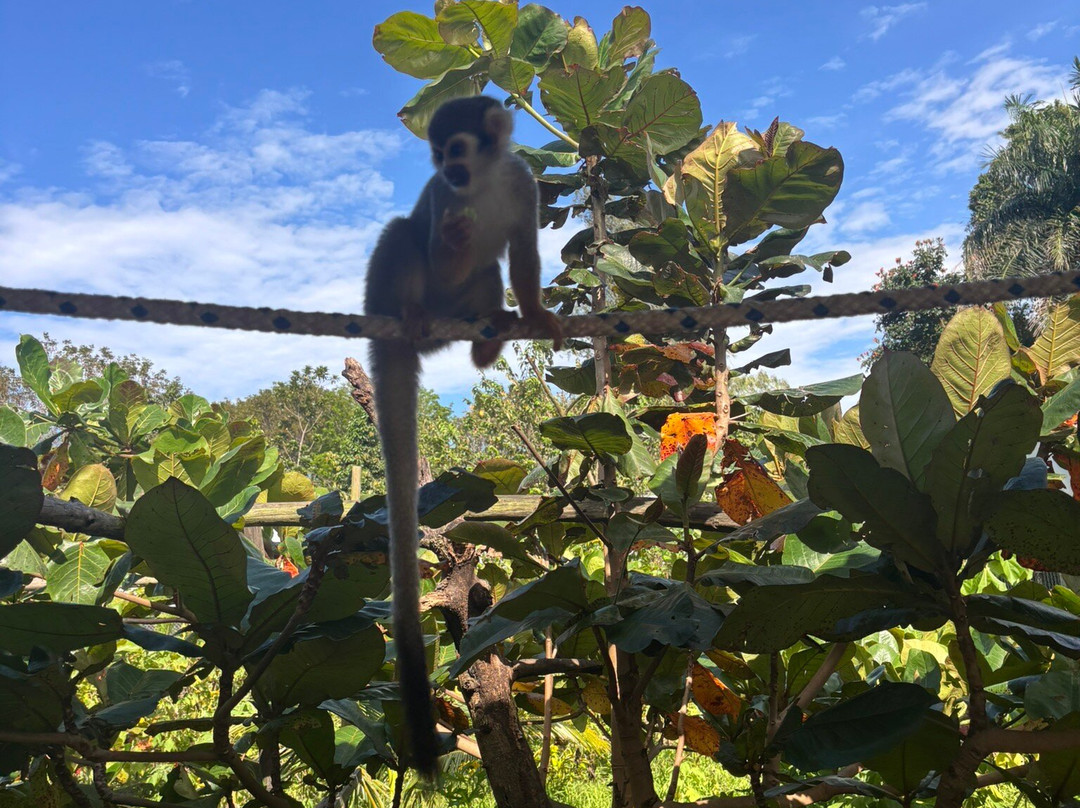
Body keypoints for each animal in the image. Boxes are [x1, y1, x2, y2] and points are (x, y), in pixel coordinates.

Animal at [363, 95, 563, 776]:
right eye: (436, 156)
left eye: (456, 150)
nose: (448, 173)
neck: (481, 183)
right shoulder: (444, 203)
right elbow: (437, 237)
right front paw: (451, 236)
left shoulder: (525, 184)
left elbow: (522, 254)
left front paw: (535, 312)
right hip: (407, 297)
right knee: (403, 234)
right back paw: (407, 315)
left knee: (487, 273)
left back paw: (487, 339)